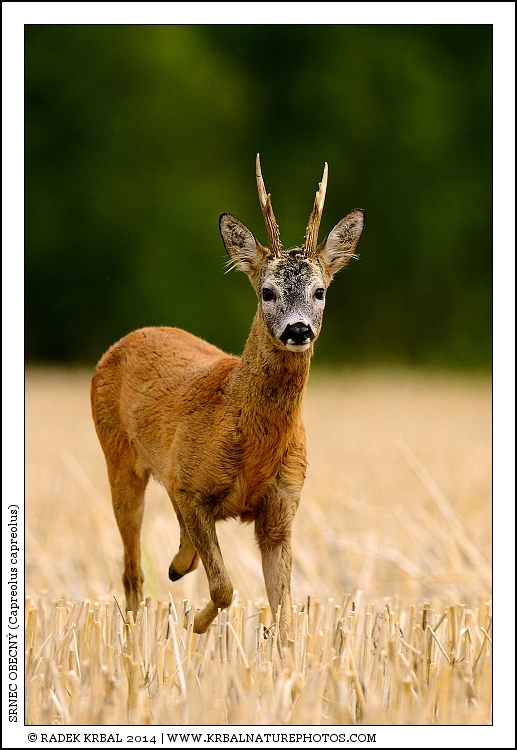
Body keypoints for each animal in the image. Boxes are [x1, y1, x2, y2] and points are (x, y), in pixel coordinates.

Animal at [90, 155, 364, 644]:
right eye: (267, 291)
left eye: (320, 291)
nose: (298, 329)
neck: (252, 452)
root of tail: (126, 339)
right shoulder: (193, 490)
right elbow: (224, 588)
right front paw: (194, 625)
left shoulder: (280, 512)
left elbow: (285, 612)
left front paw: (275, 644)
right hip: (118, 456)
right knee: (131, 571)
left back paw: (177, 567)